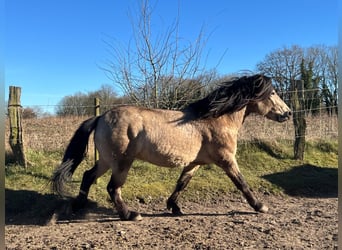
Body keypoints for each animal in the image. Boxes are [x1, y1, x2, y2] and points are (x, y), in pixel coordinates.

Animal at [51, 74, 292, 221]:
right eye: (272, 93)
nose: (288, 113)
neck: (216, 119)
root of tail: (101, 117)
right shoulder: (226, 160)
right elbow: (242, 183)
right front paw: (260, 206)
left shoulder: (195, 163)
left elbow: (181, 184)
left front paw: (174, 207)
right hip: (121, 162)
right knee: (113, 187)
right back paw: (130, 215)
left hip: (106, 160)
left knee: (88, 175)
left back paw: (77, 206)